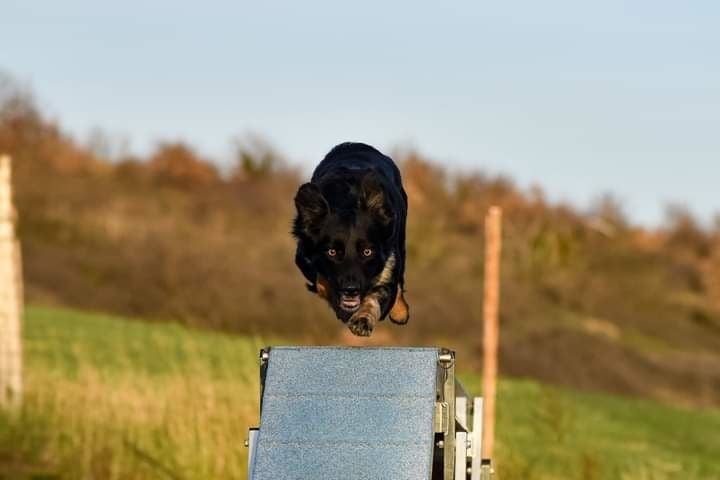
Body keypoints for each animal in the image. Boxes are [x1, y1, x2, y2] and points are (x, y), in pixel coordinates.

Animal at [290, 143, 408, 338]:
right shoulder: (304, 259)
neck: (347, 202)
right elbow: (322, 281)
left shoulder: (388, 261)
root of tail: (356, 144)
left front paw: (362, 319)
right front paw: (342, 306)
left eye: (367, 252)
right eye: (332, 252)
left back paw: (400, 311)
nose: (351, 290)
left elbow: (378, 295)